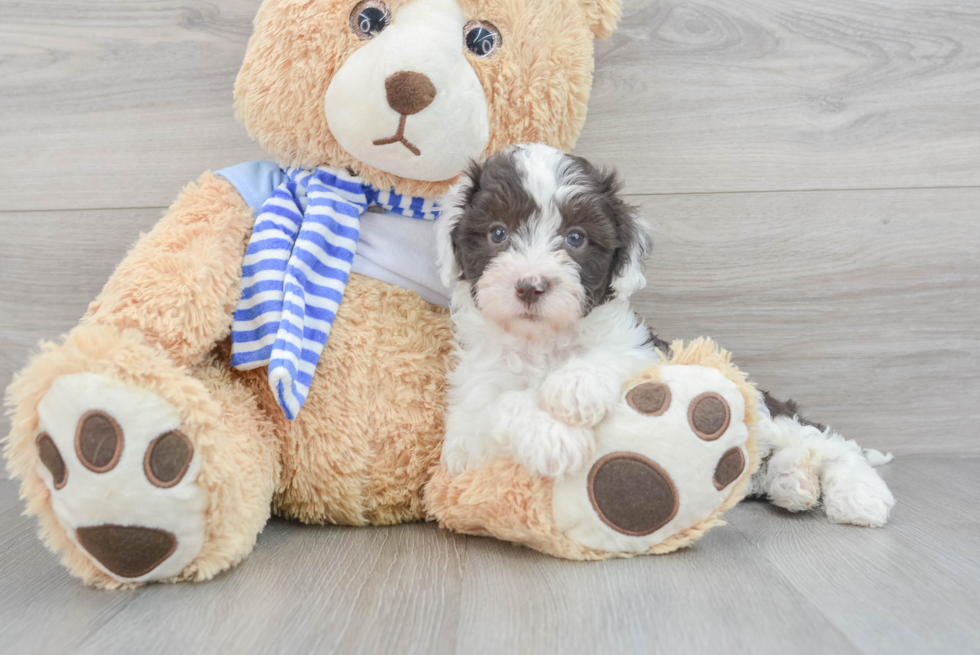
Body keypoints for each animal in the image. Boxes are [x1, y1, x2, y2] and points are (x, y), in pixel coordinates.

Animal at [436, 145, 896, 528]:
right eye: (497, 233)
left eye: (575, 238)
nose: (531, 286)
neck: (543, 342)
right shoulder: (463, 436)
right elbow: (495, 411)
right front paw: (552, 438)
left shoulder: (644, 352)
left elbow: (614, 360)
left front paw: (576, 386)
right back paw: (792, 480)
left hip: (765, 412)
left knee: (829, 441)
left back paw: (857, 494)